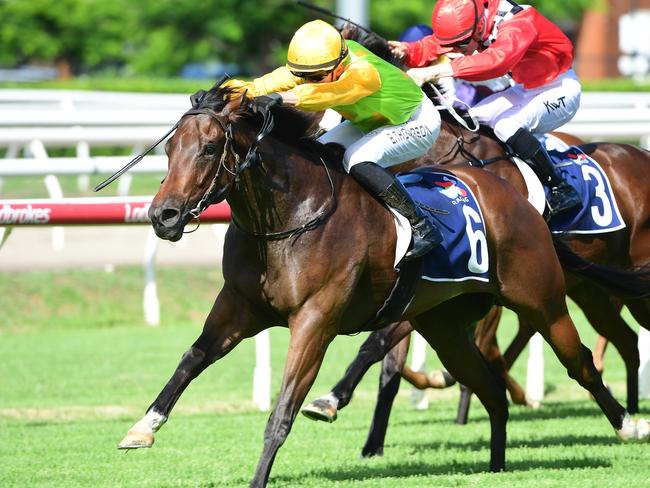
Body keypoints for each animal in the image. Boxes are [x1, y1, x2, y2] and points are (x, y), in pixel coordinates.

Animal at [117, 82, 648, 486]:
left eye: (209, 148)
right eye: (169, 149)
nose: (164, 216)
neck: (291, 216)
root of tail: (521, 200)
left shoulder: (315, 320)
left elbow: (285, 408)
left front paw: (268, 468)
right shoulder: (240, 307)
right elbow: (192, 358)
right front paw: (143, 427)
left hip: (543, 299)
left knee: (582, 361)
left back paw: (628, 424)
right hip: (447, 325)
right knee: (493, 386)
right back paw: (497, 465)